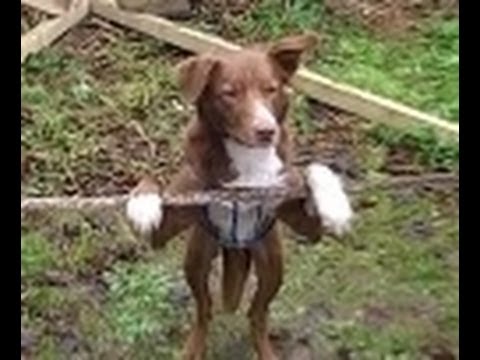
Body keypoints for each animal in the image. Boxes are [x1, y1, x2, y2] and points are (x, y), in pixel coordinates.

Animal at [125, 33, 354, 360]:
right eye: (229, 93)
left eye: (271, 89)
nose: (266, 131)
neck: (248, 157)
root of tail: (235, 249)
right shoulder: (162, 231)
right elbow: (150, 180)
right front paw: (143, 205)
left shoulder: (308, 227)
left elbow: (314, 169)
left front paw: (336, 205)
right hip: (197, 256)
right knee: (204, 309)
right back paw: (195, 346)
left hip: (272, 262)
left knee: (257, 314)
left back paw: (265, 349)